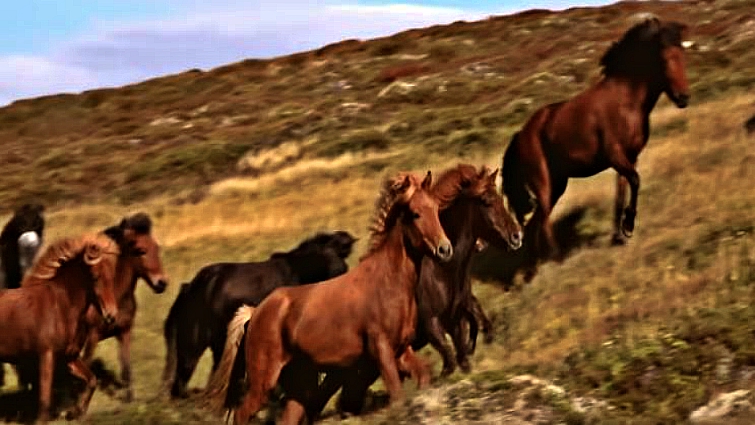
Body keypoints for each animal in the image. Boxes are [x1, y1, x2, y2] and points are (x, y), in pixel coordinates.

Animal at [0, 234, 119, 423]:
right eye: (95, 276)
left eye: (112, 274)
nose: (111, 315)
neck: (60, 306)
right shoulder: (46, 356)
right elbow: (45, 398)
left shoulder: (69, 357)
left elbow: (92, 380)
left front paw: (75, 412)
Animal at [205, 171, 452, 425]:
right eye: (415, 213)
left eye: (436, 207)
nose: (445, 249)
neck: (387, 282)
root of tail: (255, 312)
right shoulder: (381, 350)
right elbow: (397, 394)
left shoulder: (401, 350)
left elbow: (423, 375)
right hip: (263, 381)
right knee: (241, 413)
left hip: (299, 384)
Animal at [304, 164, 524, 420]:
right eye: (486, 201)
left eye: (500, 197)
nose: (516, 236)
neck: (442, 270)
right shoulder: (432, 325)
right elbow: (450, 362)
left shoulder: (455, 322)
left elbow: (462, 359)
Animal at [501, 17, 690, 281]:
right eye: (663, 59)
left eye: (683, 54)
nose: (684, 98)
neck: (626, 102)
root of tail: (521, 135)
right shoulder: (616, 156)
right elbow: (636, 181)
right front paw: (628, 227)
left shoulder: (629, 158)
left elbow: (622, 192)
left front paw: (619, 235)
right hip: (543, 183)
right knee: (544, 220)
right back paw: (557, 258)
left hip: (558, 184)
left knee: (534, 224)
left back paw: (534, 270)